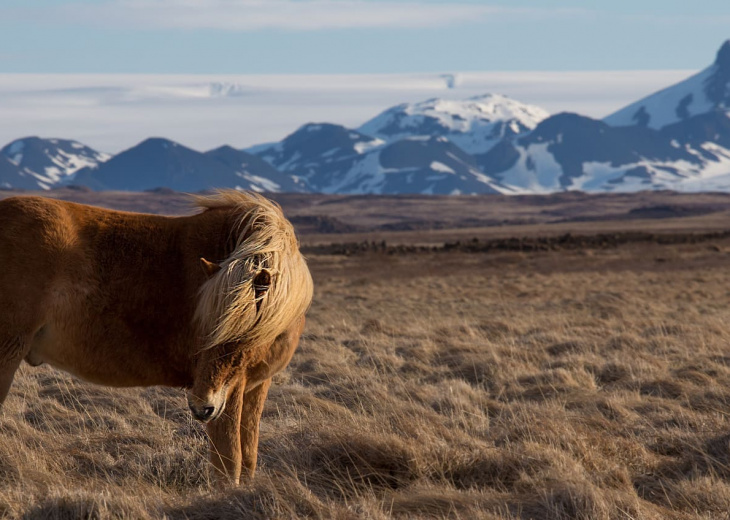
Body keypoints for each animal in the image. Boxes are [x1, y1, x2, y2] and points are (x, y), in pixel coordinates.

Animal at [0, 190, 310, 484]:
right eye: (204, 325)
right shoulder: (231, 392)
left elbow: (248, 458)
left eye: (242, 334)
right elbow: (229, 462)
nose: (201, 408)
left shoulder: (255, 386)